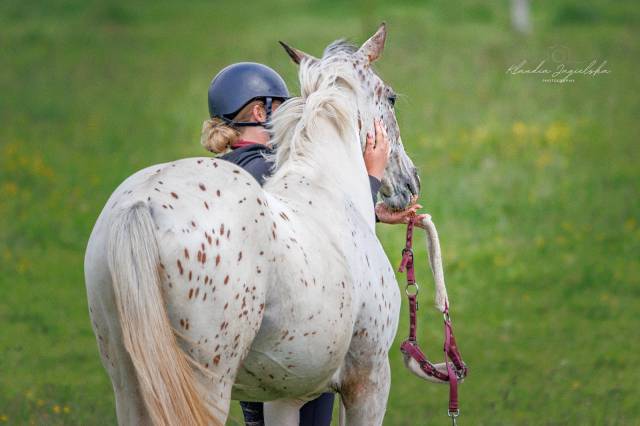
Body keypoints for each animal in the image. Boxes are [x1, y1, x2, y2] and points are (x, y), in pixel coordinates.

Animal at [84, 23, 429, 425]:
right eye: (391, 98)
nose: (411, 182)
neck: (329, 183)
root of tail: (142, 202)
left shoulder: (285, 396)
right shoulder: (369, 377)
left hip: (129, 383)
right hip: (207, 385)